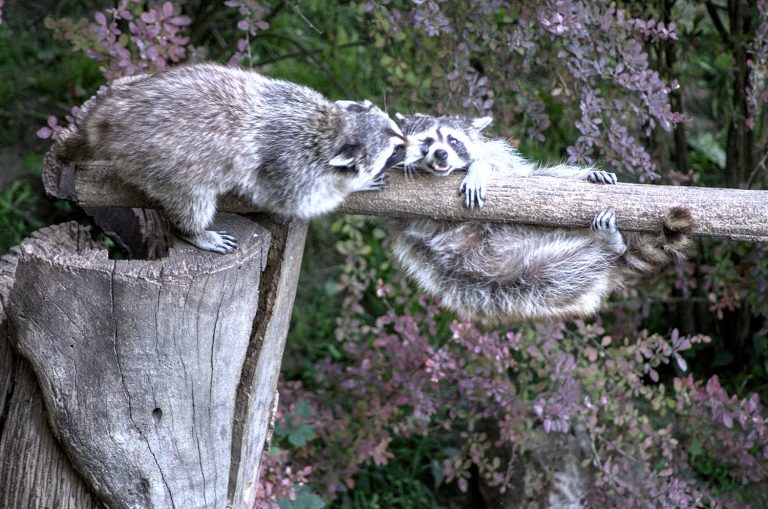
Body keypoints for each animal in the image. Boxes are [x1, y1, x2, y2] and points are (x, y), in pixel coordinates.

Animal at [55, 64, 408, 253]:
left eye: (396, 132)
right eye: (395, 149)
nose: (411, 142)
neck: (333, 128)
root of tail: (107, 123)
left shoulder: (295, 95)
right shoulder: (290, 166)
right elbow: (296, 202)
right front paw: (352, 187)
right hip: (164, 165)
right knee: (192, 201)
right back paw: (194, 231)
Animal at [388, 114, 692, 322]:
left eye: (452, 140)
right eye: (426, 141)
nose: (440, 153)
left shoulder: (505, 162)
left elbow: (509, 167)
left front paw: (478, 168)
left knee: (551, 176)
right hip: (536, 282)